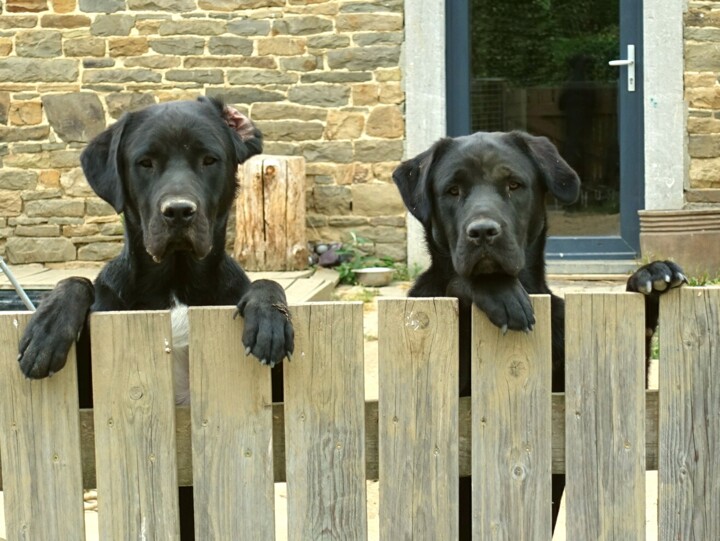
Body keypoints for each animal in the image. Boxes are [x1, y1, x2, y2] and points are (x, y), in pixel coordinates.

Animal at [14, 96, 292, 536]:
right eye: (145, 162)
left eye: (209, 160)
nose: (178, 212)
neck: (175, 282)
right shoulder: (88, 399)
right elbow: (77, 281)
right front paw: (47, 328)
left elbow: (266, 283)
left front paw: (269, 318)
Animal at [394, 130, 688, 536]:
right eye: (452, 190)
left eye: (514, 185)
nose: (482, 232)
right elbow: (457, 279)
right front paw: (499, 292)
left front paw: (650, 276)